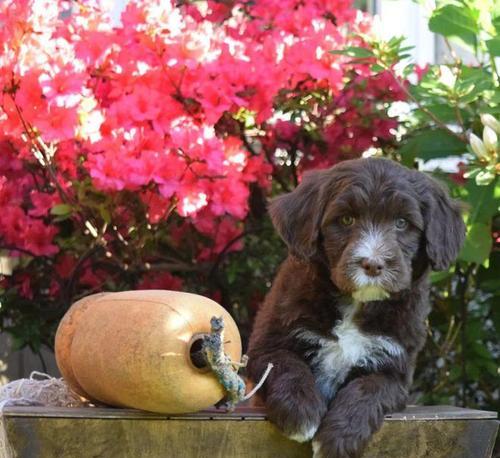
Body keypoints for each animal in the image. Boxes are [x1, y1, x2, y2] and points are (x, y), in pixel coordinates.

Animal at [246, 158, 464, 458]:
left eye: (401, 223)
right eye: (347, 220)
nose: (373, 264)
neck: (356, 303)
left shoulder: (395, 369)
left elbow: (368, 389)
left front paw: (339, 438)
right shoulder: (267, 344)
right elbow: (286, 365)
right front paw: (301, 412)